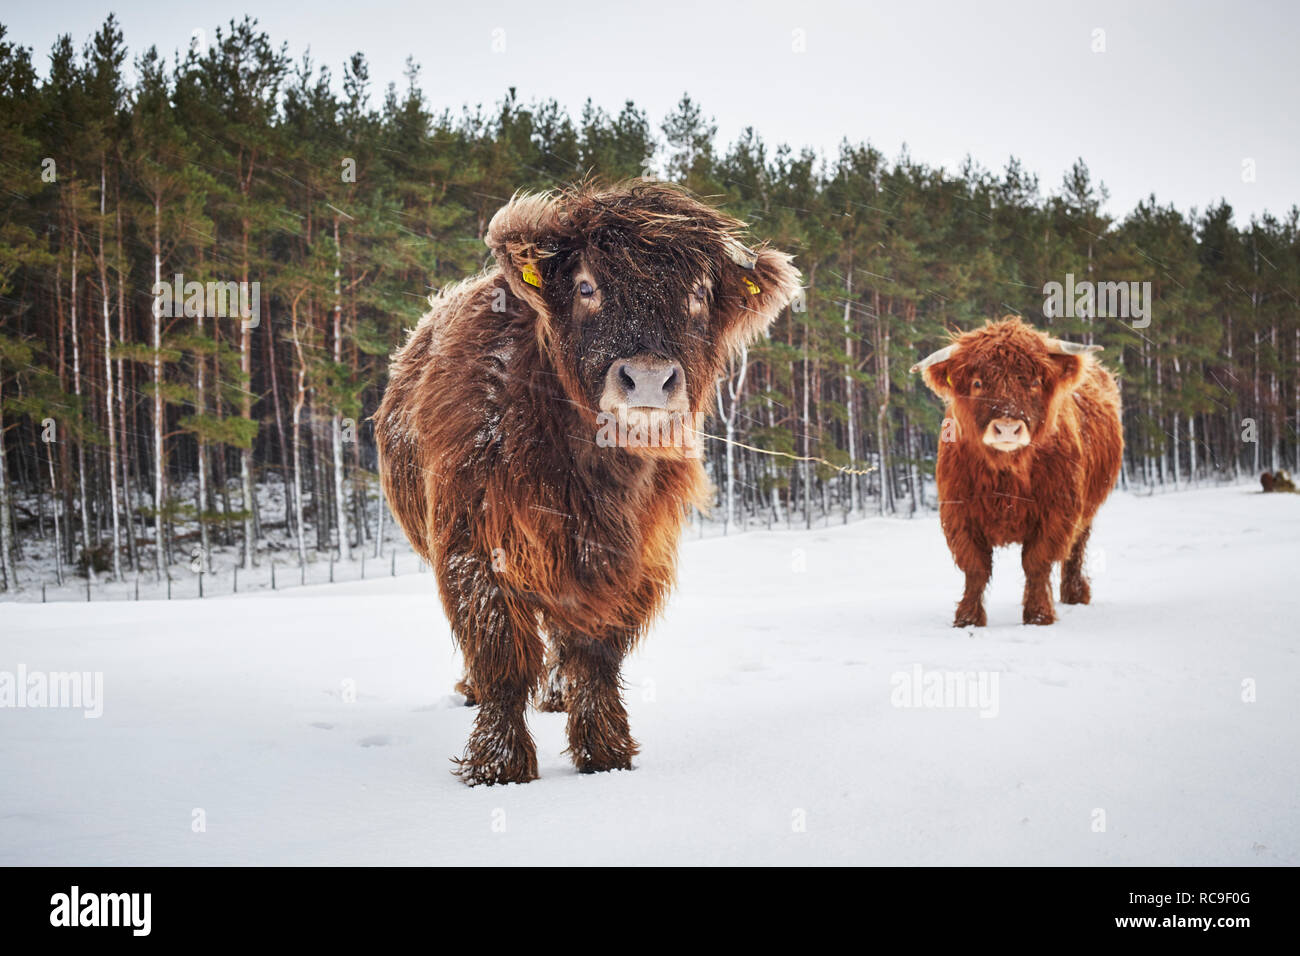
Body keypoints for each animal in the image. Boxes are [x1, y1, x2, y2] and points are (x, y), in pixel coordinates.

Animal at [377, 179, 795, 785]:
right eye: (585, 286)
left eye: (698, 294)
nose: (648, 376)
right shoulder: (472, 546)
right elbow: (500, 652)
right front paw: (499, 764)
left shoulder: (626, 558)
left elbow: (596, 656)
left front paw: (605, 753)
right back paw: (475, 691)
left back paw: (556, 697)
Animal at [909, 316, 1123, 629]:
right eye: (977, 382)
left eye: (1034, 382)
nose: (1007, 428)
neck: (1007, 473)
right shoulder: (959, 512)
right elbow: (975, 567)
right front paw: (967, 618)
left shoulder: (1058, 511)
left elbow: (1037, 562)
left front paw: (1038, 615)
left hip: (1087, 507)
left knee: (1076, 547)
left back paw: (1075, 594)